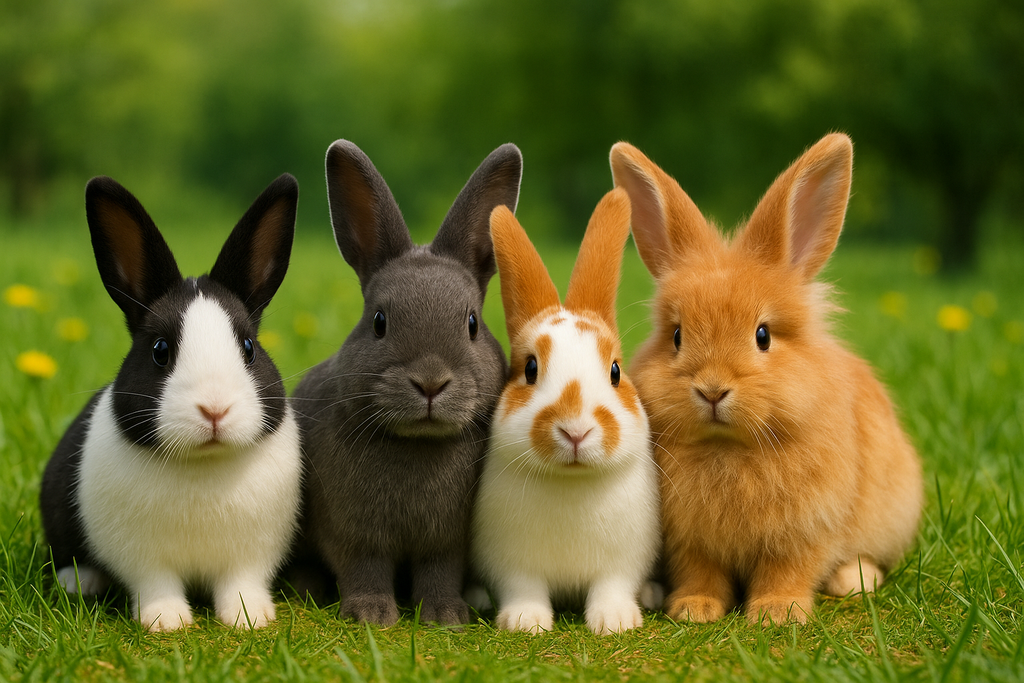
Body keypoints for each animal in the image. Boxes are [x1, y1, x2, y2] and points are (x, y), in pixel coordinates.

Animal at [39, 173, 302, 632]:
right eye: (160, 350)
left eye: (248, 348)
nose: (214, 410)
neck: (202, 466)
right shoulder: (144, 560)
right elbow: (156, 584)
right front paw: (167, 622)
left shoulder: (251, 556)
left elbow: (241, 583)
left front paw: (249, 618)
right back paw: (80, 582)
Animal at [290, 140, 520, 626]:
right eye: (379, 322)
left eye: (472, 324)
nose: (430, 383)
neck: (417, 443)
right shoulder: (355, 536)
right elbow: (365, 569)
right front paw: (371, 615)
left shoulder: (447, 544)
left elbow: (439, 572)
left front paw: (446, 616)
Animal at [472, 188, 661, 635]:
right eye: (530, 369)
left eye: (615, 371)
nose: (576, 431)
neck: (571, 482)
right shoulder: (512, 563)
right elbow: (523, 588)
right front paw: (526, 622)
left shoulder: (622, 563)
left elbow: (611, 587)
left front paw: (615, 622)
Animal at [608, 133, 924, 625]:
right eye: (677, 336)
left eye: (763, 336)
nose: (712, 389)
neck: (730, 448)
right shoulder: (690, 542)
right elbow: (701, 572)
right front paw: (694, 608)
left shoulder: (805, 531)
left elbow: (787, 570)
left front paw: (778, 613)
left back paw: (852, 581)